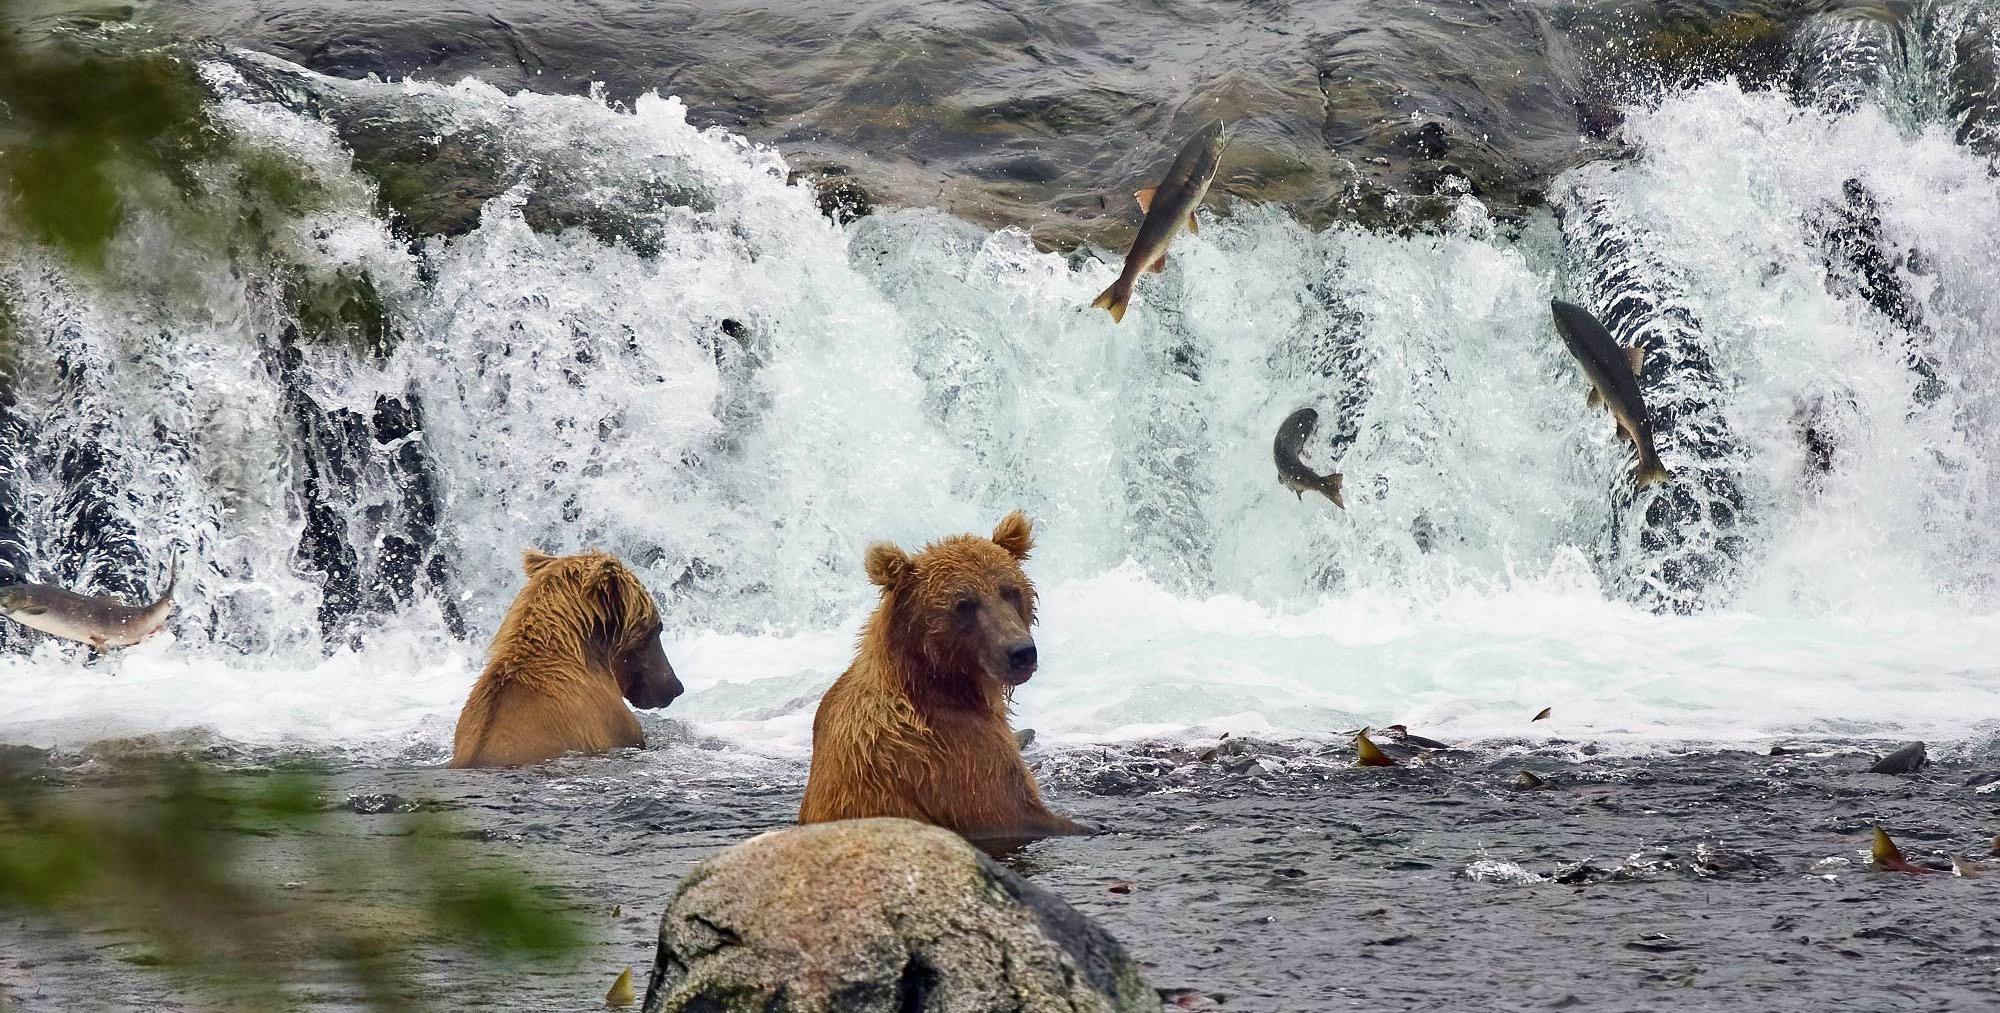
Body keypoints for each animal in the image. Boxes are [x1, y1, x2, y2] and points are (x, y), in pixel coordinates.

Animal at [797, 511, 1086, 840]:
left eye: (1010, 590)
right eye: (964, 603)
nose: (1021, 652)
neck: (940, 680)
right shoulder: (954, 753)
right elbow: (1013, 810)